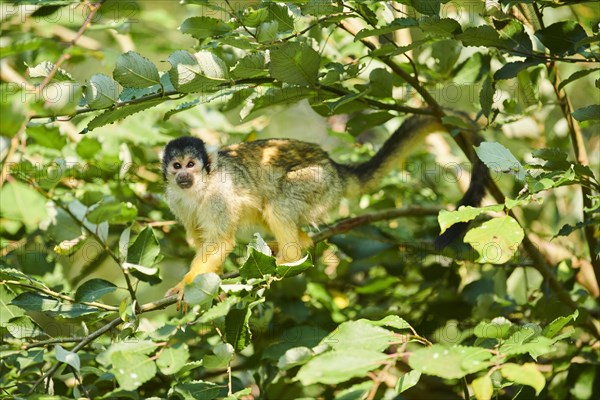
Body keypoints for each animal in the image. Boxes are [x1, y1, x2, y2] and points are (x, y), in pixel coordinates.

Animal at [161, 115, 488, 304]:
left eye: (191, 164)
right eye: (176, 166)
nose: (183, 175)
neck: (200, 188)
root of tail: (336, 169)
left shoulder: (218, 195)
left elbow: (220, 242)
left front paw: (185, 286)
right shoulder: (175, 201)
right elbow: (202, 241)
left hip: (318, 182)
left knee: (277, 203)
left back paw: (291, 255)